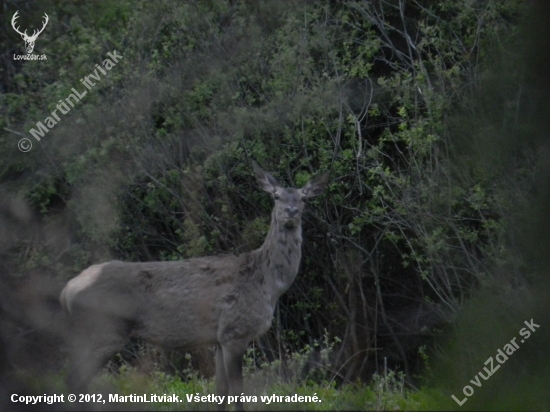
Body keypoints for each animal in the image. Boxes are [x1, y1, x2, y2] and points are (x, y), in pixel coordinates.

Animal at [60, 161, 328, 408]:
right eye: (276, 196)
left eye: (304, 198)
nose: (291, 211)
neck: (269, 285)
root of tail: (66, 291)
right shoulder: (235, 331)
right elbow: (237, 393)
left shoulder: (219, 338)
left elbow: (221, 393)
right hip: (106, 330)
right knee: (75, 379)